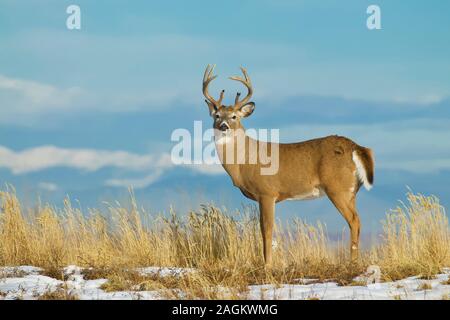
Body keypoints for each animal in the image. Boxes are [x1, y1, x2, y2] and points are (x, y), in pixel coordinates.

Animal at [202, 65, 374, 264]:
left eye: (234, 116)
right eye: (217, 115)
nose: (223, 126)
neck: (244, 162)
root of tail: (356, 147)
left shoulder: (267, 191)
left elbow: (266, 229)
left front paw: (268, 264)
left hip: (337, 188)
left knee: (354, 220)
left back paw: (352, 262)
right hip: (351, 191)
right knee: (357, 220)